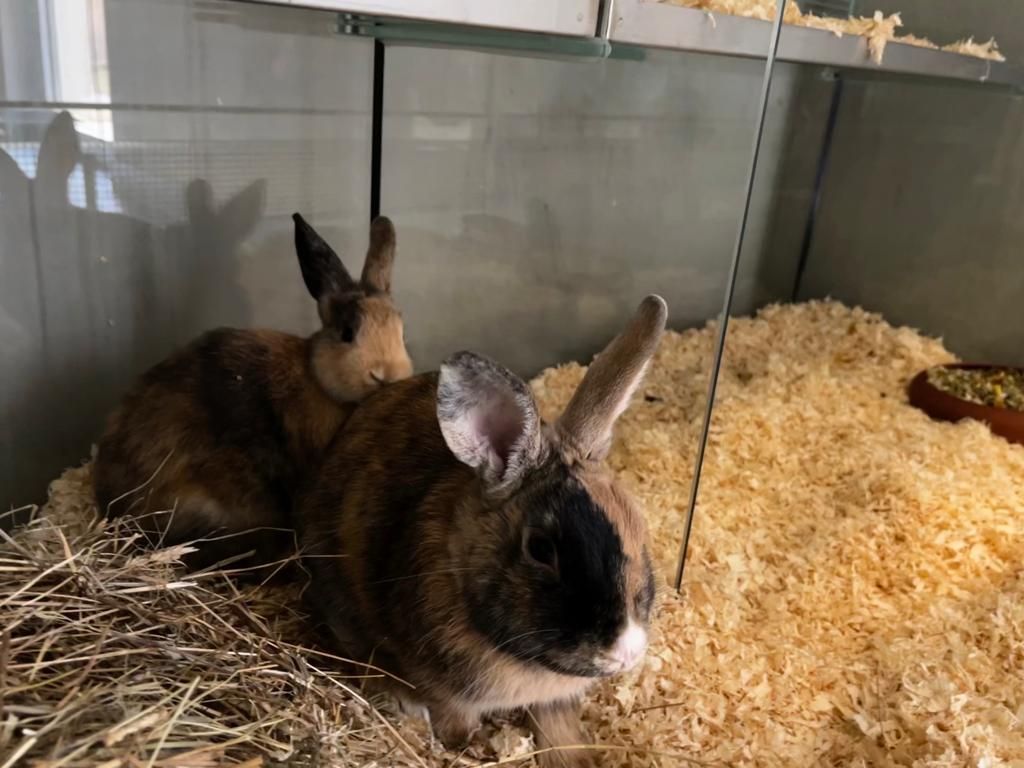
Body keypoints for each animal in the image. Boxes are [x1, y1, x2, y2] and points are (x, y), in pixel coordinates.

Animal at [296, 295, 667, 767]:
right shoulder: (442, 689)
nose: (627, 651)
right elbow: (455, 721)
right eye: (540, 549)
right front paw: (469, 746)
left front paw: (576, 757)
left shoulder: (556, 699)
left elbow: (558, 727)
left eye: (638, 524)